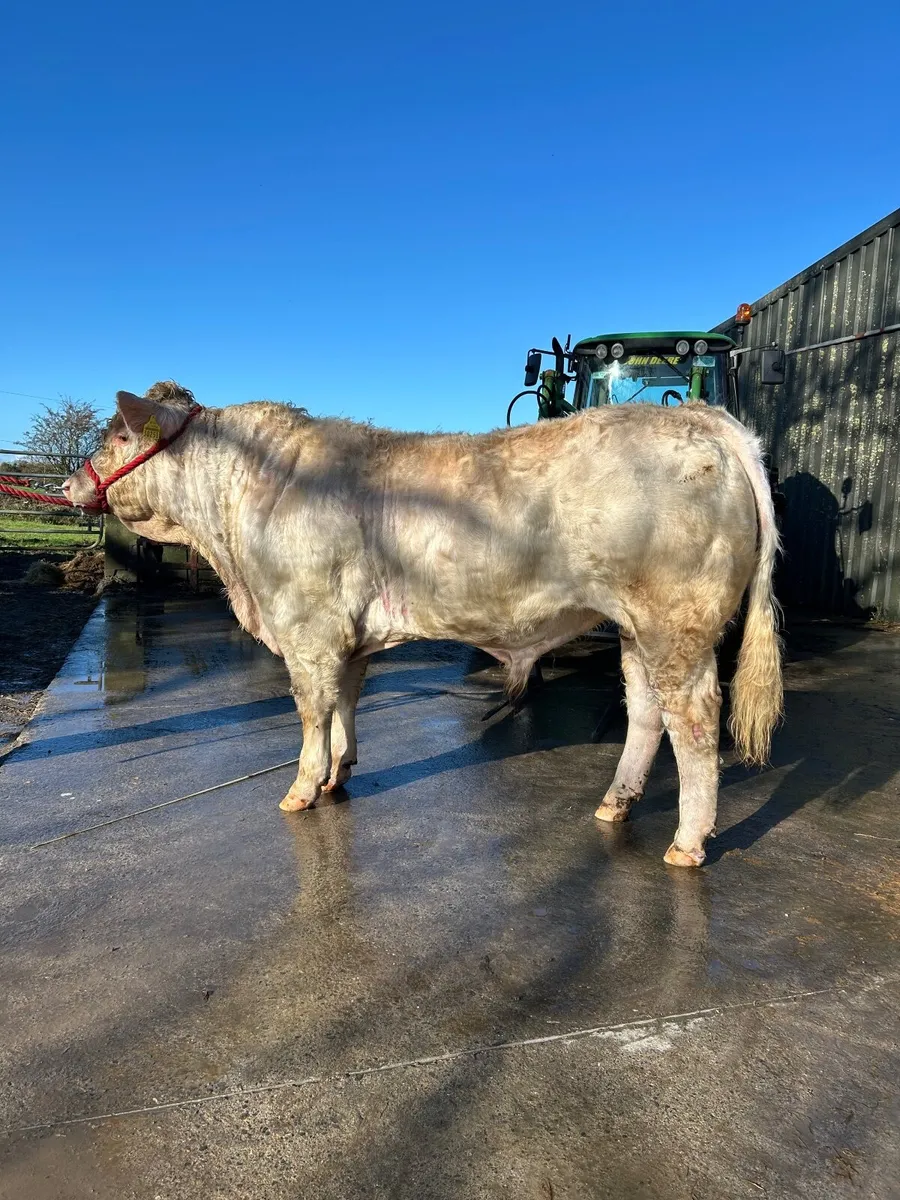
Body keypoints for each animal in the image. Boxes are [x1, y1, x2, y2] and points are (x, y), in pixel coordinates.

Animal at [64, 381, 782, 867]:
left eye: (117, 436)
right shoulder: (346, 636)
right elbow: (346, 703)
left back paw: (687, 842)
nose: (71, 483)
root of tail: (696, 415)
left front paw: (302, 788)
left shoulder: (306, 627)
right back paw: (616, 802)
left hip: (676, 622)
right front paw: (339, 772)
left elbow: (312, 710)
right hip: (635, 626)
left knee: (693, 719)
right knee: (646, 713)